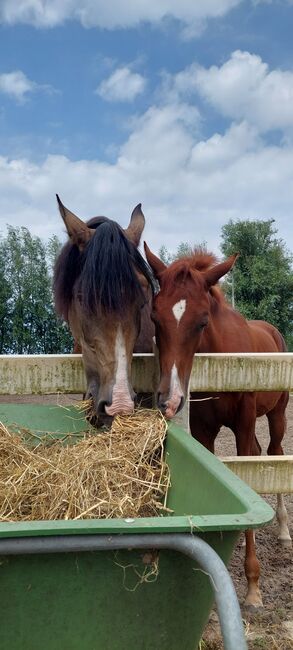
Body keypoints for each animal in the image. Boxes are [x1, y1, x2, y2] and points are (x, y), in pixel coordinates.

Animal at [144, 243, 290, 608]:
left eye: (202, 321)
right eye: (155, 318)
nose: (169, 399)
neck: (224, 350)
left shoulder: (243, 425)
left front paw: (253, 586)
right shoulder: (205, 432)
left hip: (276, 416)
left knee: (274, 452)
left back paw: (283, 529)